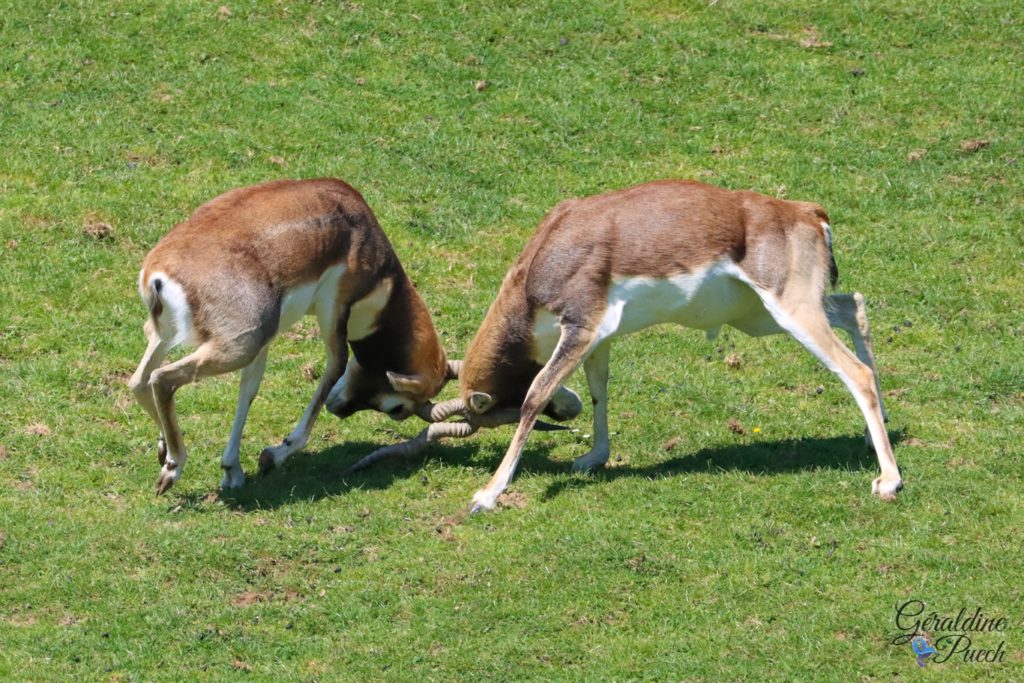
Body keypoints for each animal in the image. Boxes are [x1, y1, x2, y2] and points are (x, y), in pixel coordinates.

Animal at [124, 179, 452, 493]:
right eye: (398, 409)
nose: (338, 409)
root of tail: (158, 273)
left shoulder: (266, 344)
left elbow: (249, 390)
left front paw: (233, 470)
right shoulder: (335, 310)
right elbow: (335, 367)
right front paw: (272, 456)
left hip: (168, 334)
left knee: (139, 380)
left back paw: (164, 449)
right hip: (239, 344)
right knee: (161, 379)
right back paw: (173, 467)